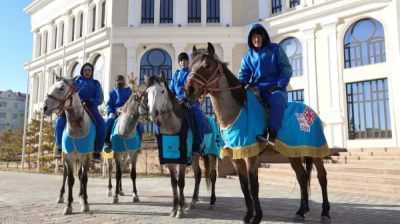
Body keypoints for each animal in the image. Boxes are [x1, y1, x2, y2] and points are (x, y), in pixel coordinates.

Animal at [42, 77, 94, 215]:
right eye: (50, 87)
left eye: (61, 88)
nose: (44, 108)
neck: (77, 127)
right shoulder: (69, 158)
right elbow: (70, 179)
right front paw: (69, 205)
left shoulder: (85, 158)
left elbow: (84, 178)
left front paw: (85, 203)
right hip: (64, 158)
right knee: (65, 175)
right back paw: (61, 197)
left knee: (81, 176)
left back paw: (82, 197)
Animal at [139, 74, 222, 218]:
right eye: (148, 92)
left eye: (162, 91)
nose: (153, 113)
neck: (172, 127)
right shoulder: (170, 159)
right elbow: (173, 183)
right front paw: (174, 209)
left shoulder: (183, 159)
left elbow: (181, 182)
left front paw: (181, 211)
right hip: (194, 155)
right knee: (198, 174)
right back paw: (193, 202)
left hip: (212, 153)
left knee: (212, 175)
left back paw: (212, 202)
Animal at [184, 42, 332, 224]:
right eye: (190, 66)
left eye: (206, 66)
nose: (188, 89)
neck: (237, 111)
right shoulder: (236, 156)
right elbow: (243, 186)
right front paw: (248, 215)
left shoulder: (251, 154)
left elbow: (253, 186)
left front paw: (257, 216)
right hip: (293, 153)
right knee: (302, 176)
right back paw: (301, 211)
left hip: (315, 151)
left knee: (322, 177)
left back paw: (325, 212)